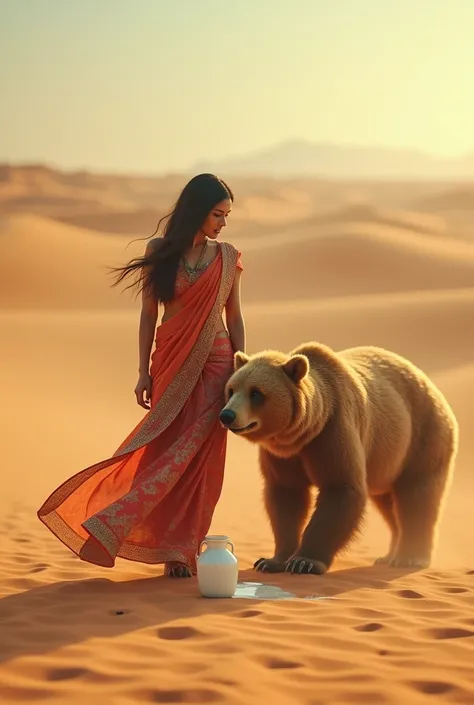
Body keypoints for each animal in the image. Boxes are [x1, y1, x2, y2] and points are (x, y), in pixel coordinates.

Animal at [219, 338, 460, 576]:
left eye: (256, 393)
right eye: (231, 389)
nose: (227, 415)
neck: (303, 434)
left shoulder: (333, 431)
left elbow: (341, 488)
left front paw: (305, 562)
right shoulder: (282, 455)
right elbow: (286, 496)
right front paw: (271, 561)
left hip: (423, 434)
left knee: (417, 495)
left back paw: (410, 557)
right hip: (387, 461)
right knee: (389, 503)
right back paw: (389, 555)